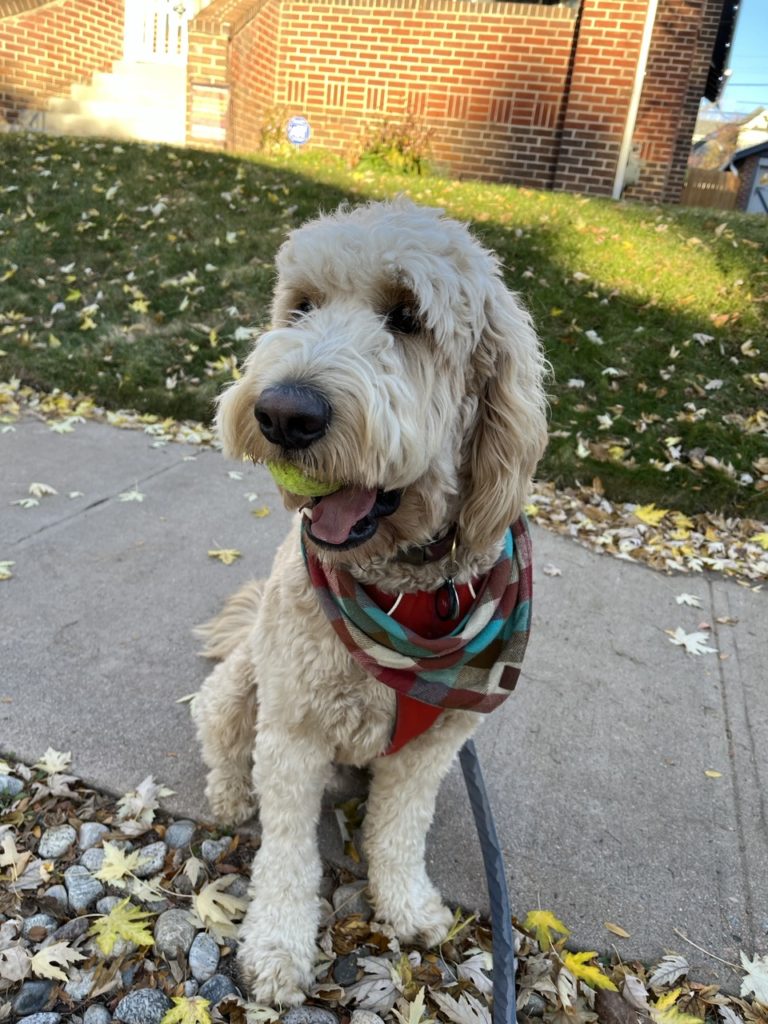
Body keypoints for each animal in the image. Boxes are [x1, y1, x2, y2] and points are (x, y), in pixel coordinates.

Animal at [193, 195, 552, 1003]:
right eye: (301, 306)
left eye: (409, 316)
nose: (283, 413)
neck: (402, 598)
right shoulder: (291, 733)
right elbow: (288, 854)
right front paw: (277, 947)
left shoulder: (433, 746)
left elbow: (398, 830)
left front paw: (407, 906)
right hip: (239, 688)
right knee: (222, 739)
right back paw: (230, 795)